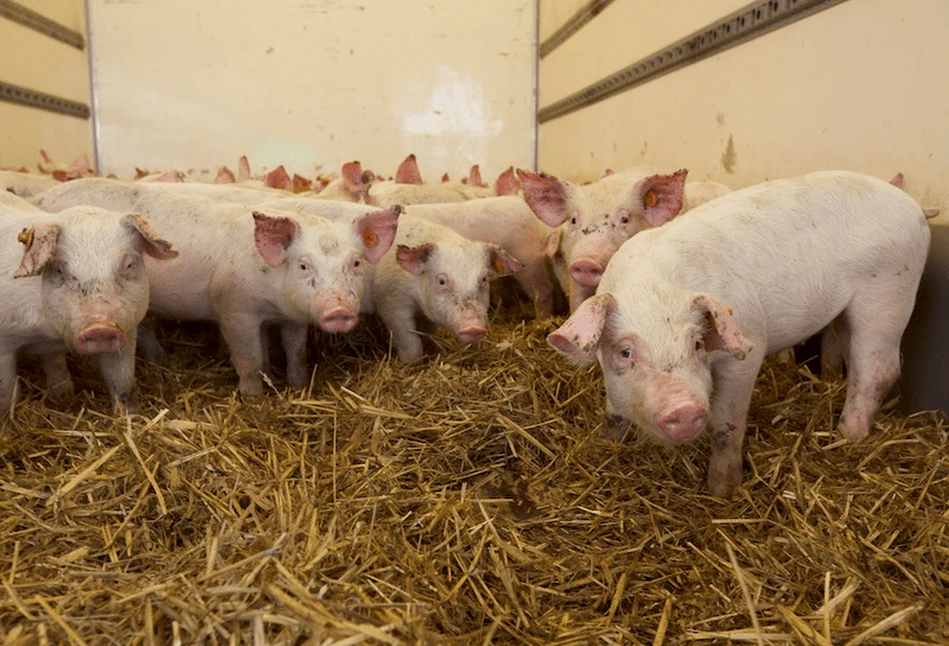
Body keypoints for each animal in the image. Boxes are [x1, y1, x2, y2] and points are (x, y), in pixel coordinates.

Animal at [0, 200, 177, 418]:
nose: (100, 327)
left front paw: (129, 417)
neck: (51, 336)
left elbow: (122, 381)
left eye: (129, 265)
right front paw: (7, 421)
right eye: (58, 269)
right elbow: (7, 393)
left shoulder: (127, 330)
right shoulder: (4, 344)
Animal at [33, 180, 400, 398]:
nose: (338, 310)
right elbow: (250, 358)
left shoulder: (292, 317)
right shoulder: (233, 310)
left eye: (355, 263)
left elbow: (296, 350)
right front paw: (253, 399)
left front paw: (297, 386)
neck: (272, 300)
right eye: (304, 265)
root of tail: (41, 196)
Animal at [544, 170, 928, 498]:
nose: (684, 408)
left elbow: (725, 425)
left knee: (878, 369)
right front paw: (606, 445)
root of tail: (914, 207)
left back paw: (846, 438)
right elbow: (613, 412)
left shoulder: (748, 346)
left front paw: (721, 492)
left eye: (697, 344)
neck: (655, 286)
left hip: (888, 292)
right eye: (625, 352)